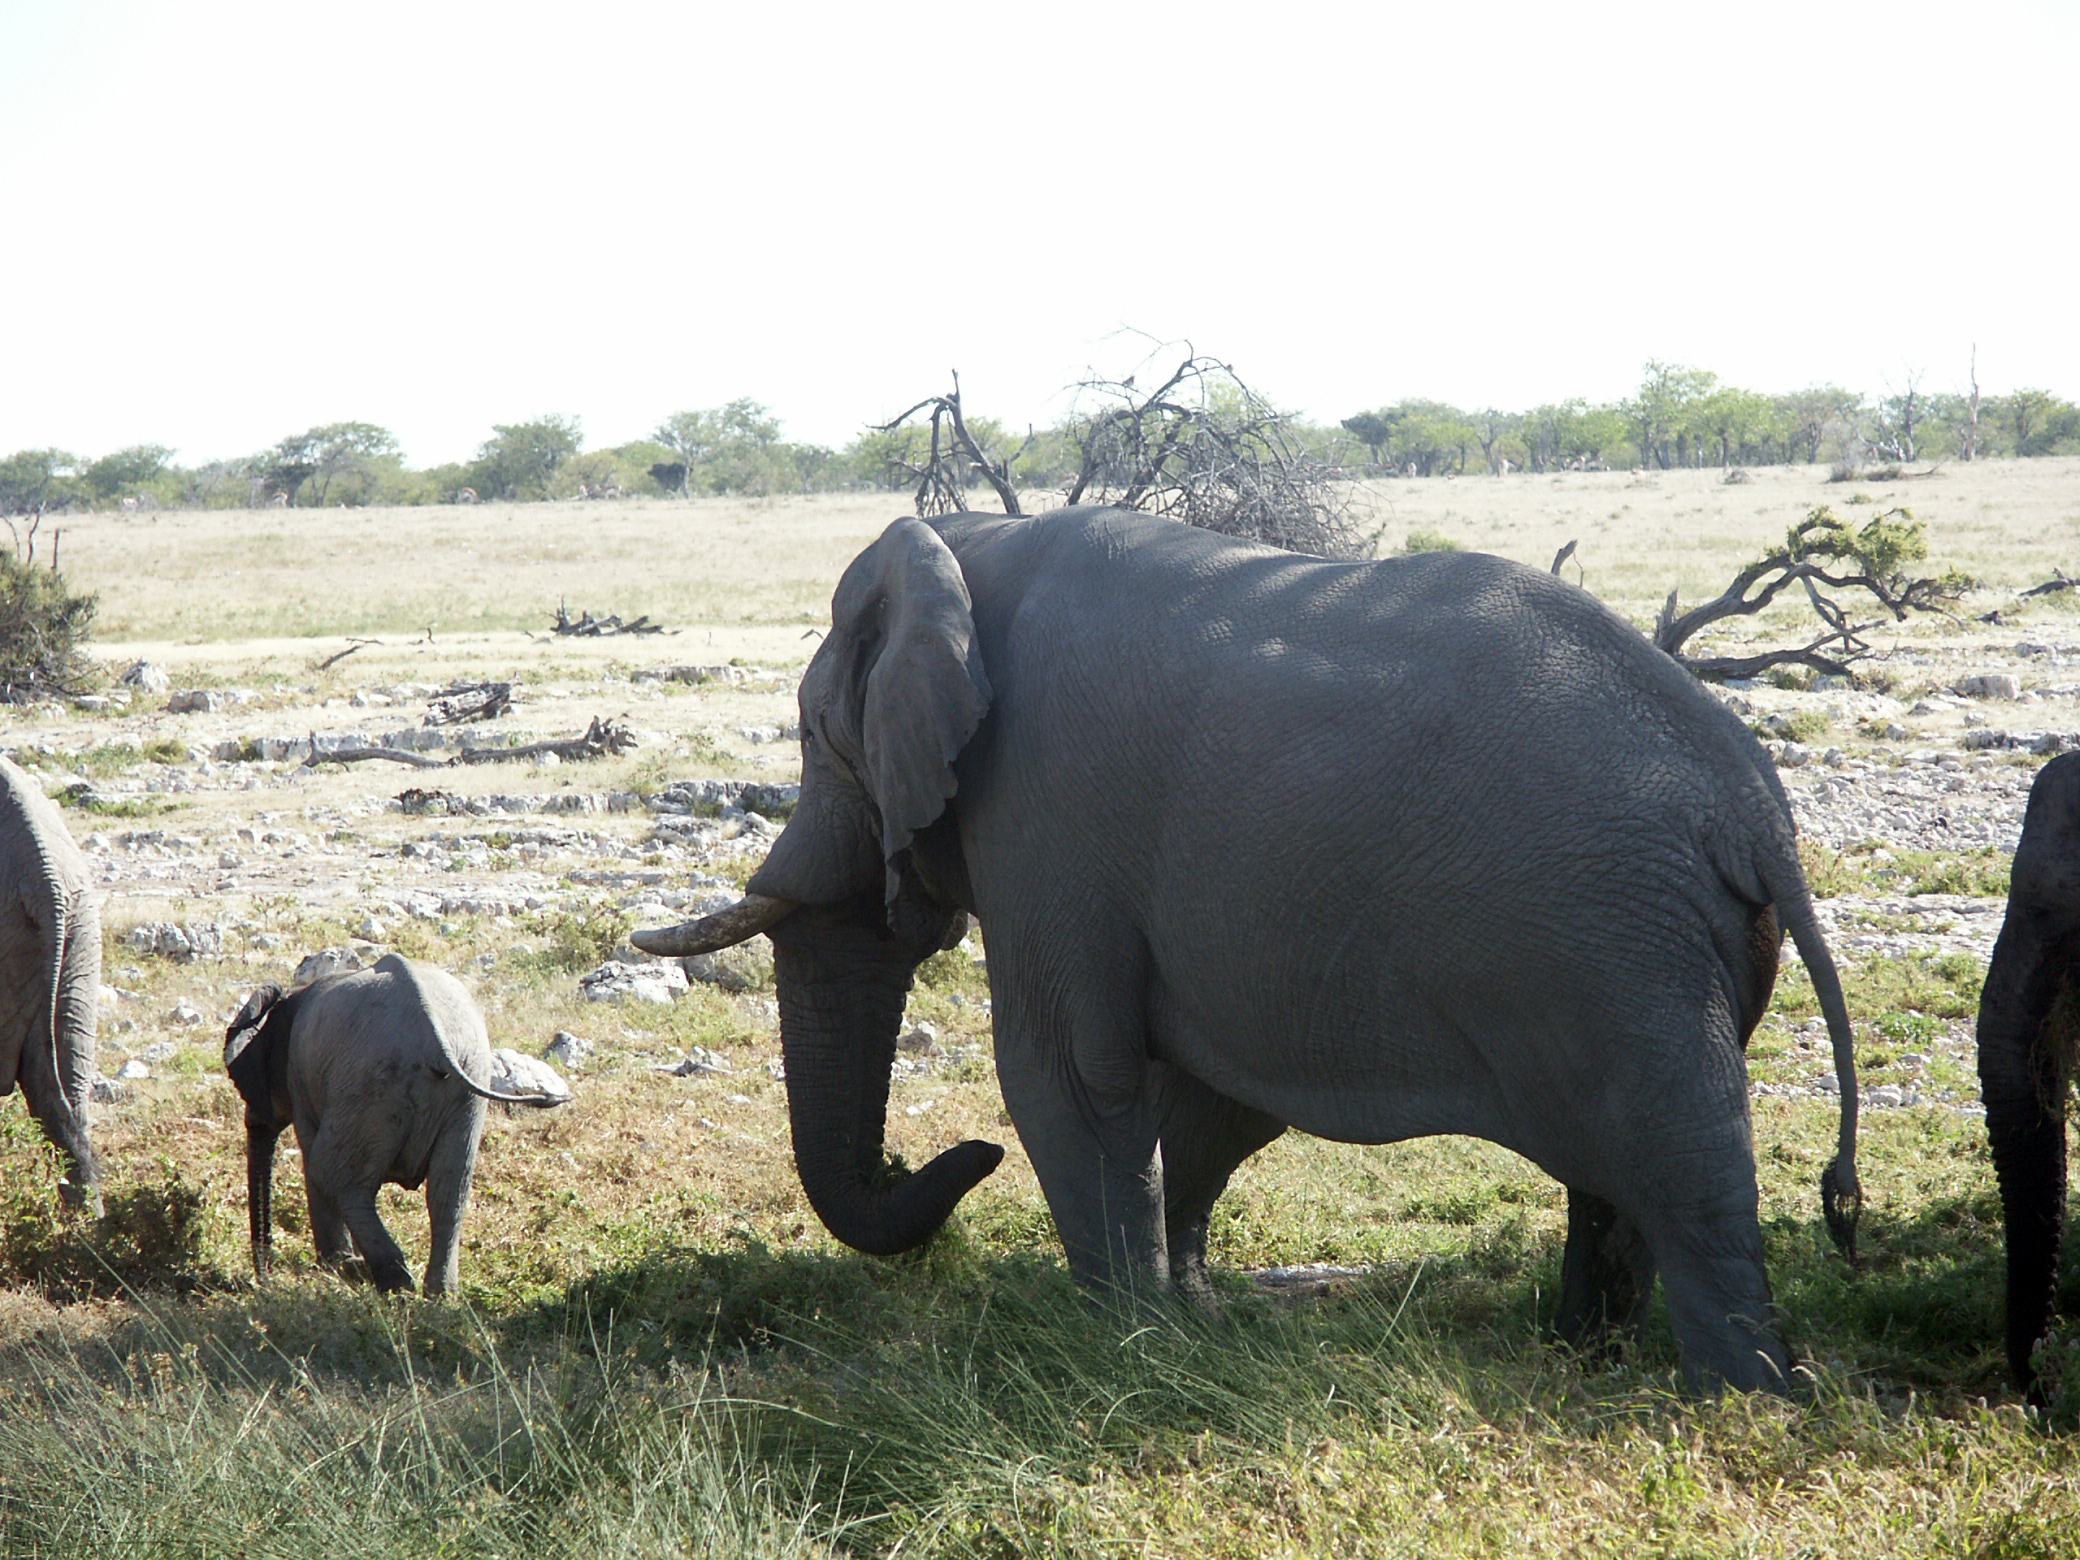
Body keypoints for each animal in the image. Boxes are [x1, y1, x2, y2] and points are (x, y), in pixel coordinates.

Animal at [226, 952, 565, 1297]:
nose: (264, 1279)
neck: (293, 994)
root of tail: (435, 1037)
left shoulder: (300, 1076)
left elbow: (312, 1159)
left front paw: (333, 1265)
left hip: (370, 1083)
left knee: (332, 1175)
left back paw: (391, 1283)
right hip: (466, 1085)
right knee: (449, 1188)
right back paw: (437, 1294)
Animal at [636, 503, 1871, 1389]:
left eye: (814, 732)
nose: (930, 1160)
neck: (968, 552)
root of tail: (1751, 808)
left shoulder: (1045, 813)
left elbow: (1066, 1075)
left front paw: (1119, 1346)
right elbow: (1208, 1094)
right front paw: (1186, 1325)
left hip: (1619, 946)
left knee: (1677, 1168)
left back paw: (1739, 1403)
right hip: (1649, 946)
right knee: (1621, 1176)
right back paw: (1587, 1361)